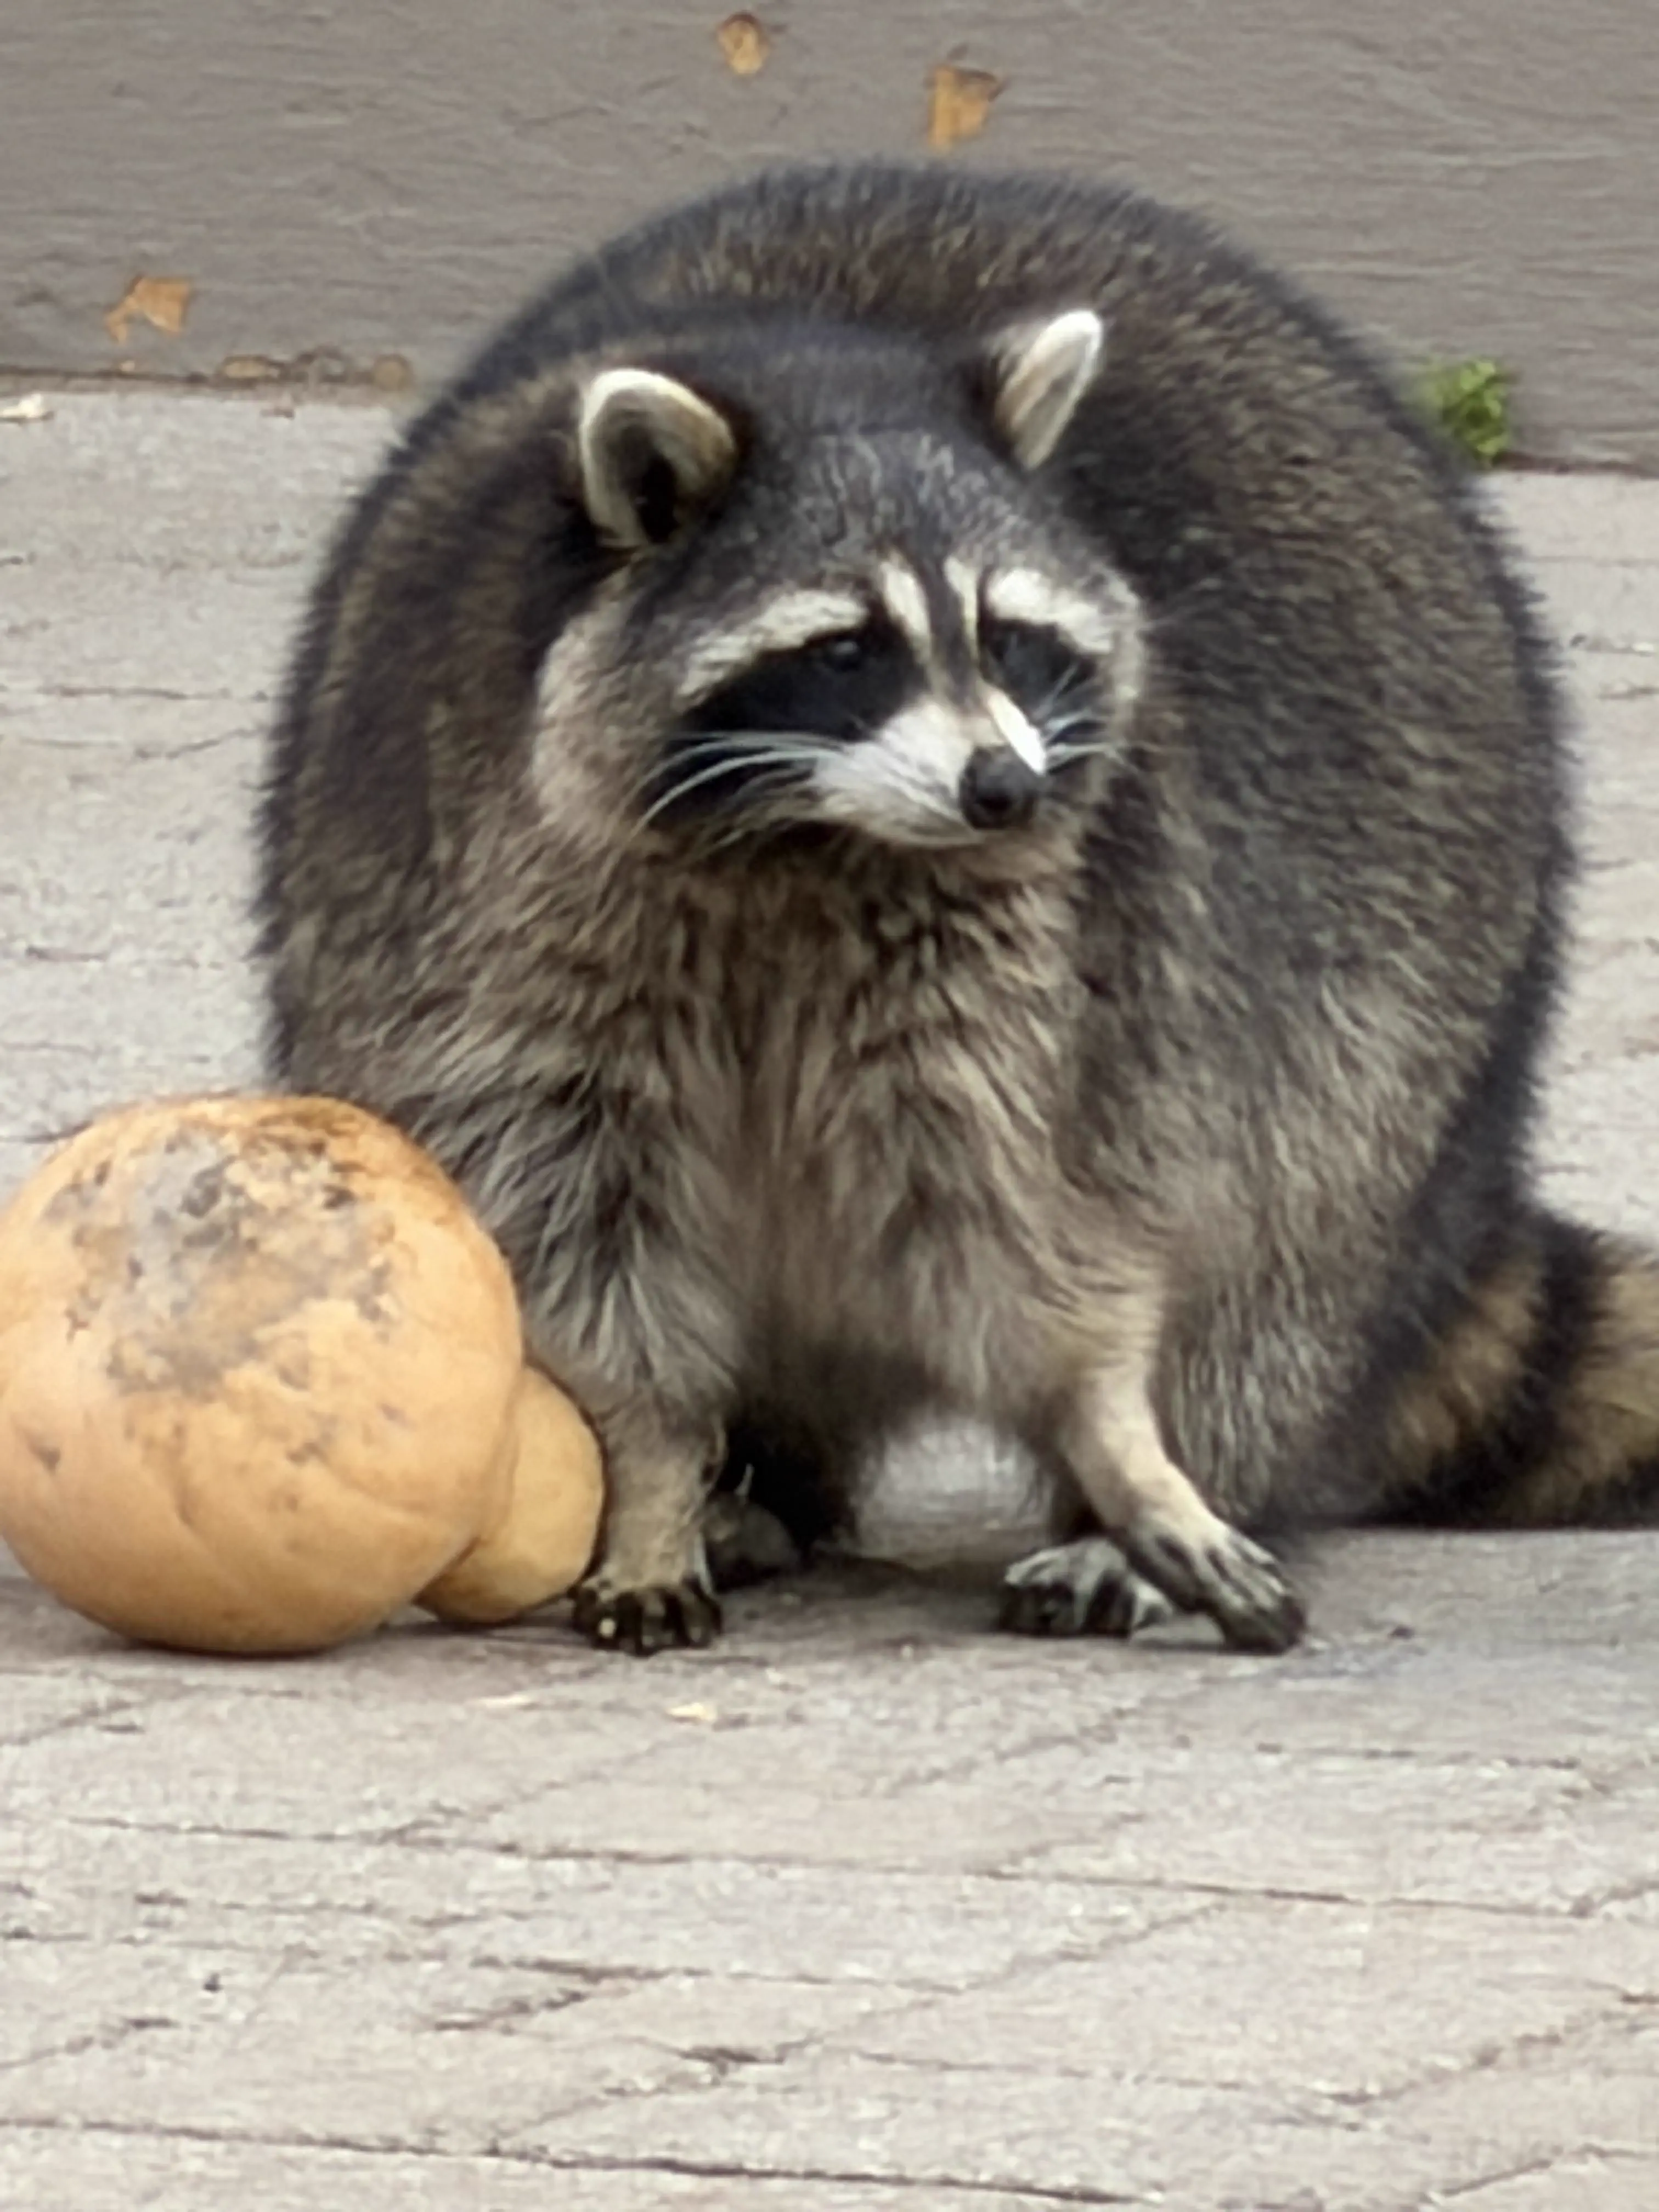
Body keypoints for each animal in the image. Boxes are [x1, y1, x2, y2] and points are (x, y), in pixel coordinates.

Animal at [259, 160, 1659, 1656]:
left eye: (1009, 636)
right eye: (848, 649)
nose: (1004, 785)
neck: (800, 838)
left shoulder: (1048, 935)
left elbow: (1018, 1199)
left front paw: (1116, 1438)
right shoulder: (501, 906)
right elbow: (577, 1207)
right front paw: (652, 1462)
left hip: (1409, 1001)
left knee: (1279, 1246)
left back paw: (1179, 1463)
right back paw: (763, 1484)